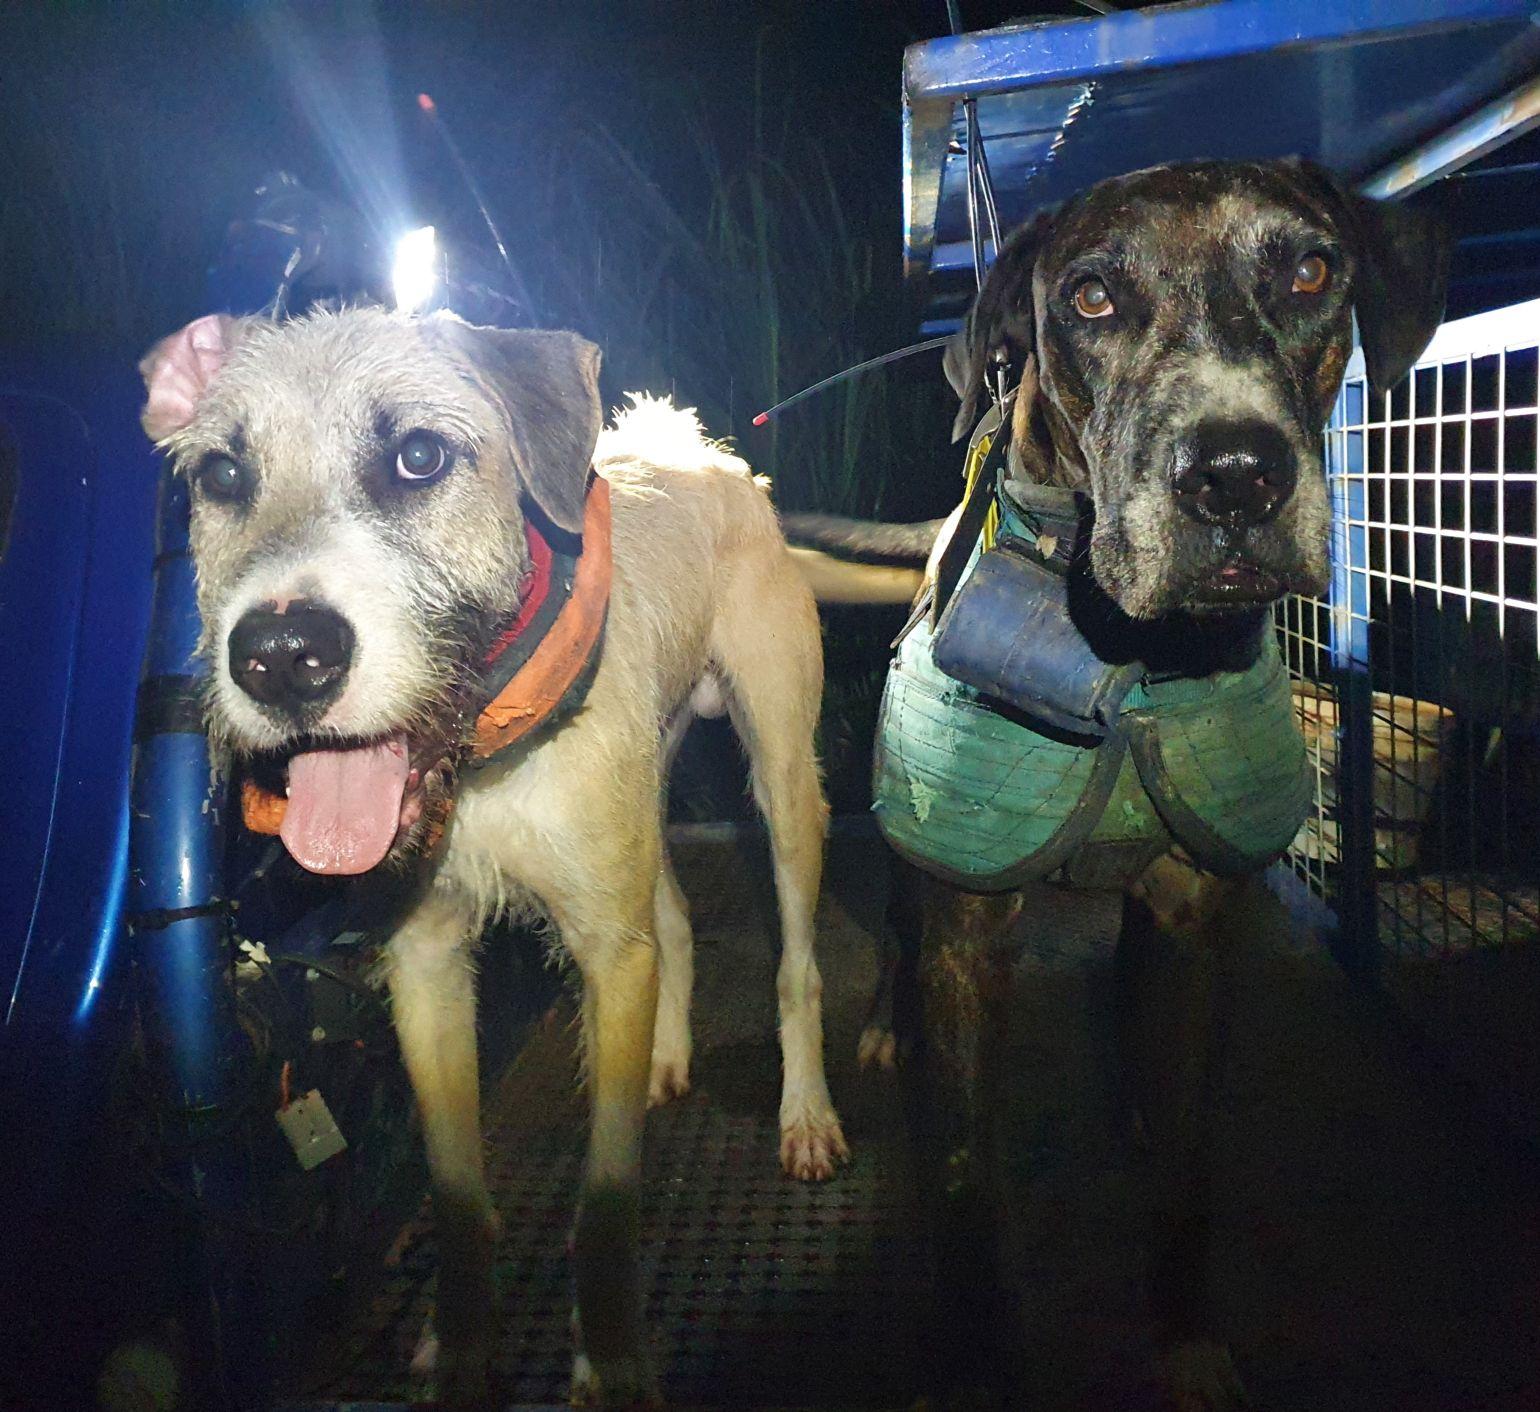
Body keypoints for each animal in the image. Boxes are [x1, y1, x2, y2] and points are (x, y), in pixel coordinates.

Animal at [139, 308, 848, 1406]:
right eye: (220, 474)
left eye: (420, 457)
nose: (282, 657)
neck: (475, 762)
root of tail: (709, 456)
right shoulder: (426, 964)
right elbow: (456, 1192)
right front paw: (463, 1345)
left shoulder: (606, 947)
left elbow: (604, 1203)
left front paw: (612, 1355)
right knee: (674, 920)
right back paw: (666, 1053)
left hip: (781, 779)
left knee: (796, 964)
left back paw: (805, 1113)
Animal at [784, 159, 1449, 1409]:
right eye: (1089, 296)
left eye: (1310, 269)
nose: (1233, 475)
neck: (1128, 658)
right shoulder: (968, 926)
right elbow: (966, 1176)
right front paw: (976, 1361)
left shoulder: (1193, 912)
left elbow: (1187, 1153)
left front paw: (1183, 1336)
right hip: (909, 857)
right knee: (896, 931)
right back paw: (891, 1024)